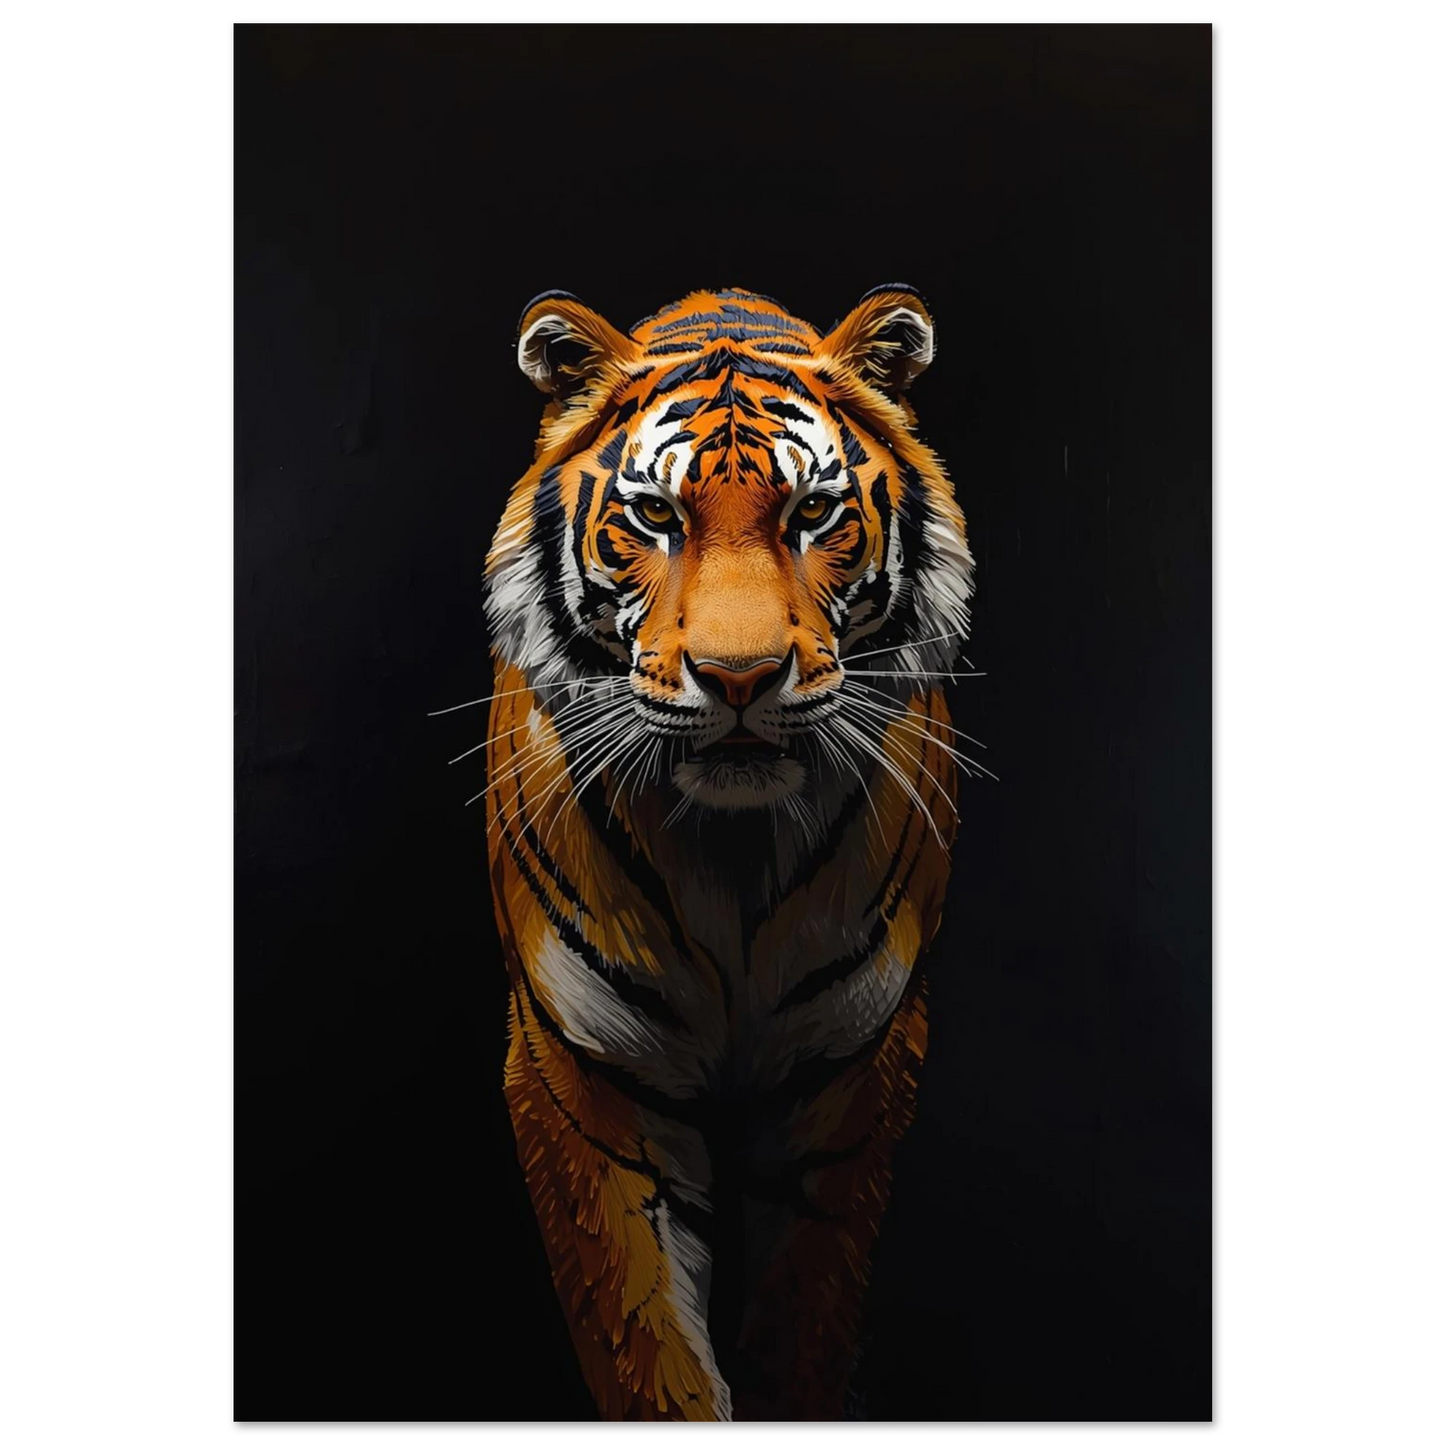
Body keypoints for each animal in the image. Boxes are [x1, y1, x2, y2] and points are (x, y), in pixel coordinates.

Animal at [480, 286, 976, 1422]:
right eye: (656, 517)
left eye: (813, 514)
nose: (739, 677)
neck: (731, 855)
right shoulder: (584, 1077)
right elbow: (646, 1350)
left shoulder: (855, 1074)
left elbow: (804, 1324)